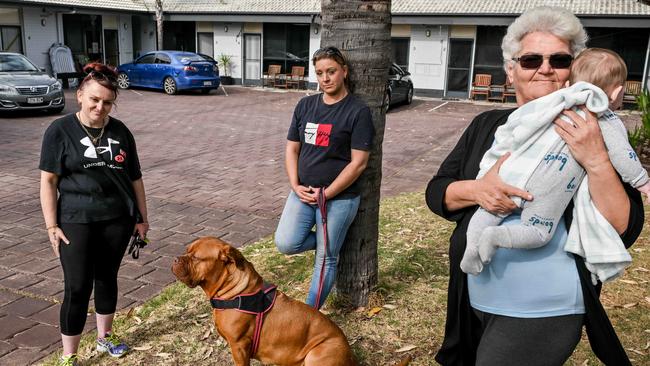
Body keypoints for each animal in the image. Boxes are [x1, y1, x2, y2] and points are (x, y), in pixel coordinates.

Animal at [170, 237, 356, 366]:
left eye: (195, 258)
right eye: (186, 251)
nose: (175, 259)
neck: (234, 290)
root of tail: (349, 354)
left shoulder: (239, 346)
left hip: (317, 354)